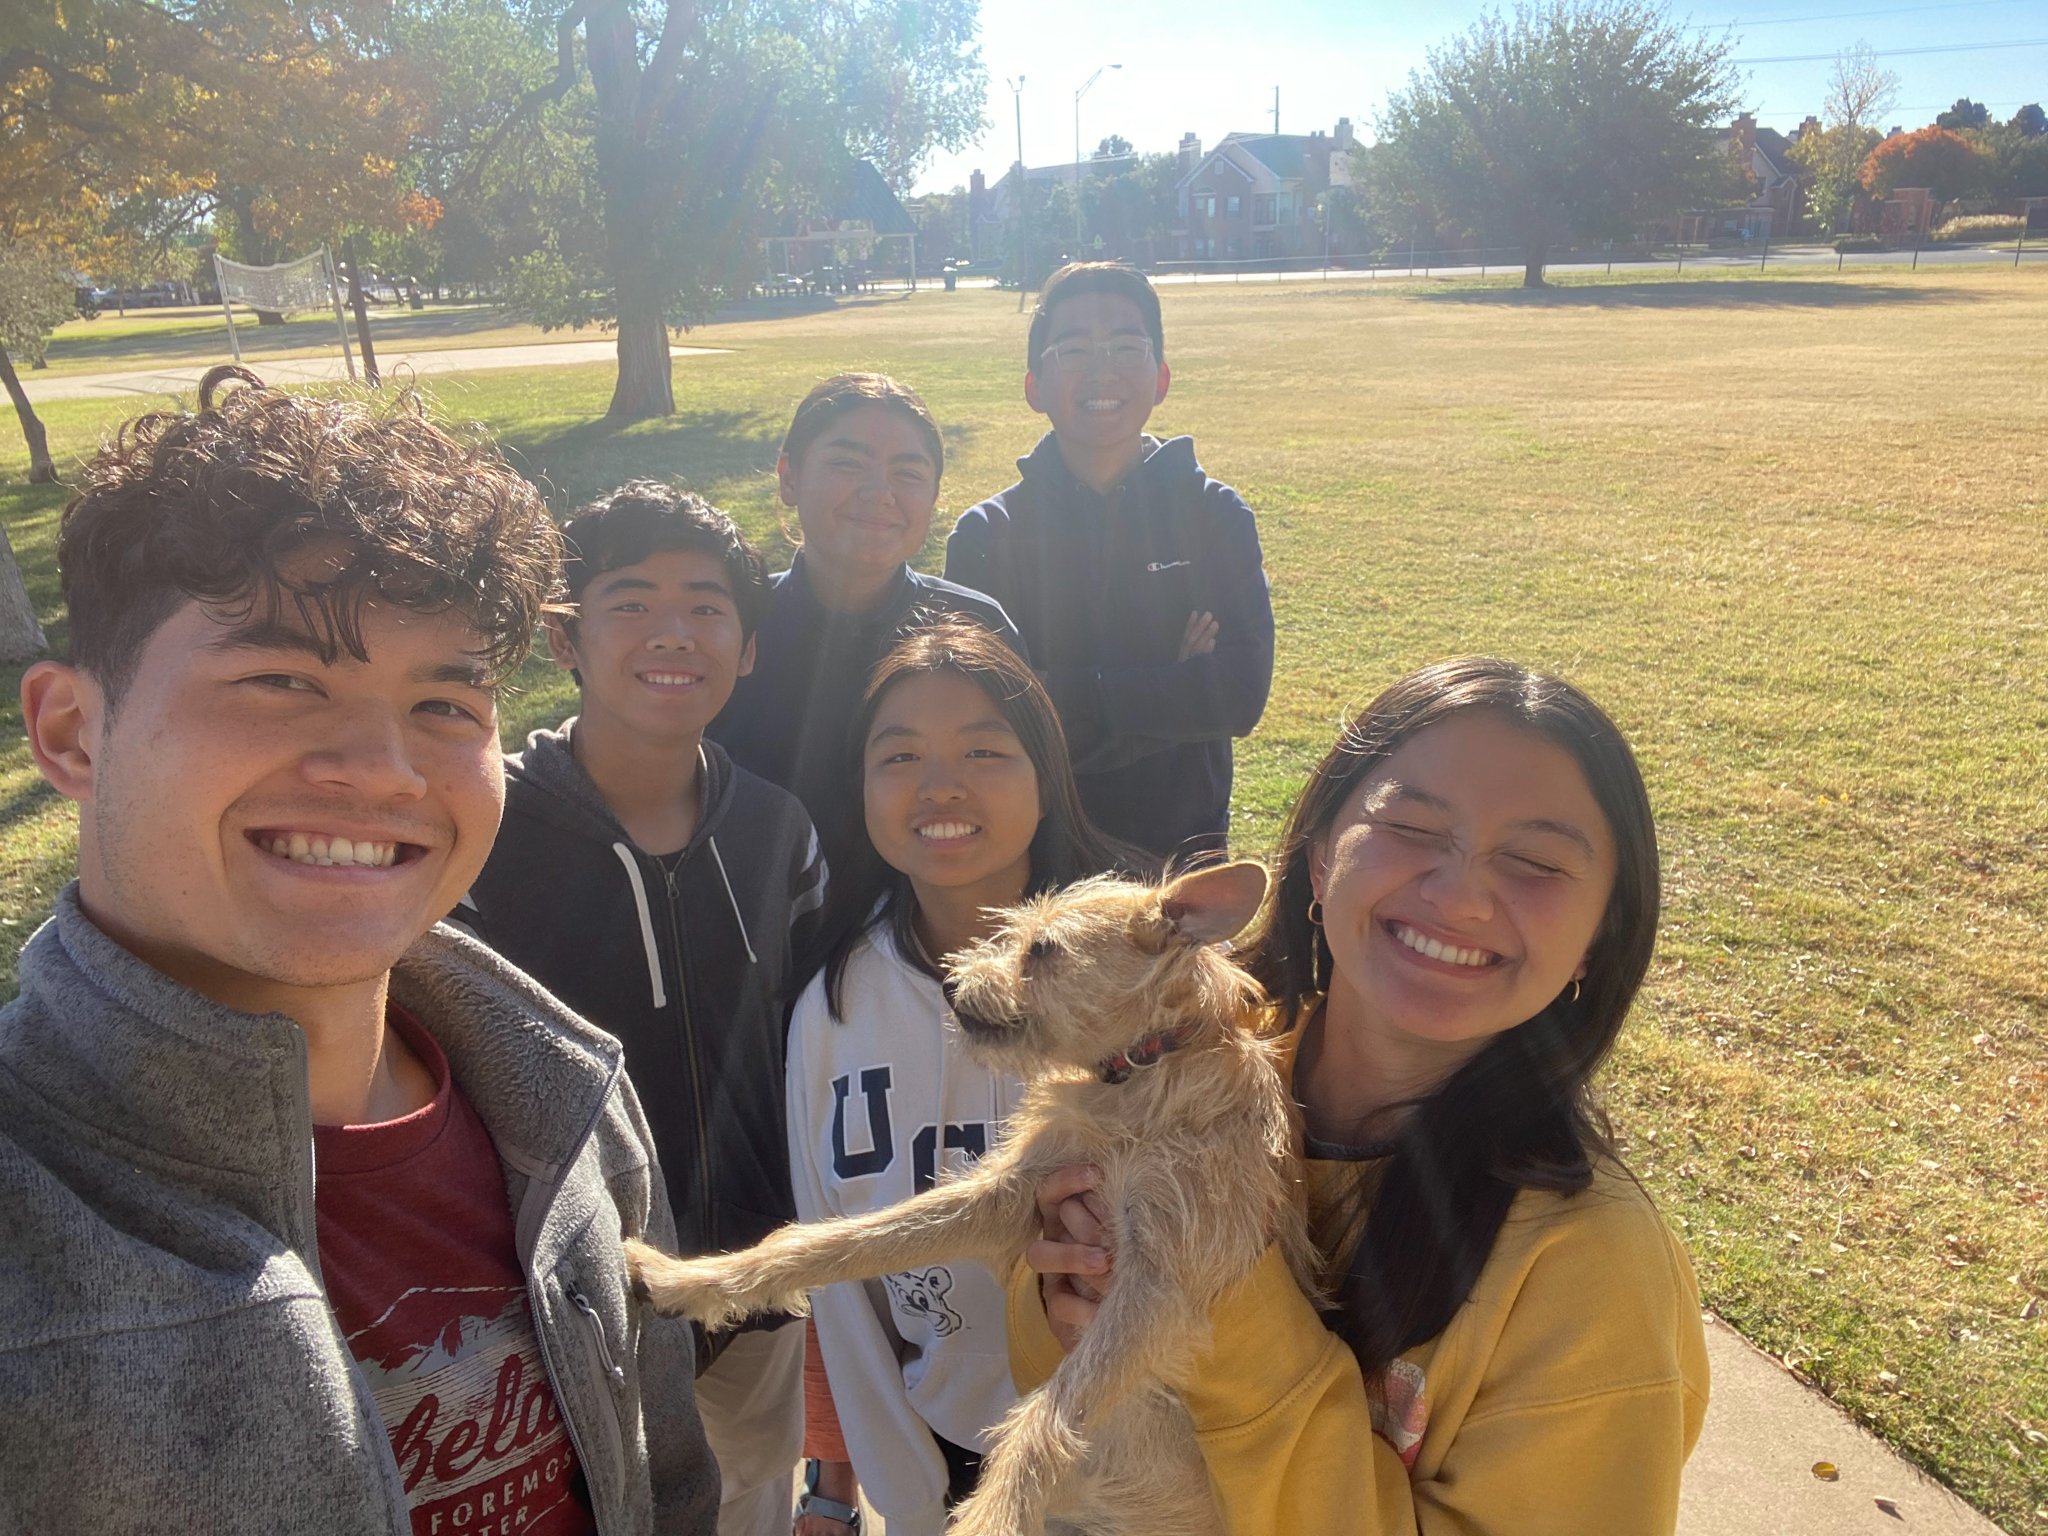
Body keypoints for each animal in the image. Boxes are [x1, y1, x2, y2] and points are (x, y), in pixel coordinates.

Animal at [625, 860, 1316, 1536]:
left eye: (1042, 948)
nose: (955, 989)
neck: (1141, 1077)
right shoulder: (1013, 1196)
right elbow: (843, 1240)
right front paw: (689, 1278)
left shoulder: (1159, 1282)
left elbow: (1047, 1414)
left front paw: (993, 1515)